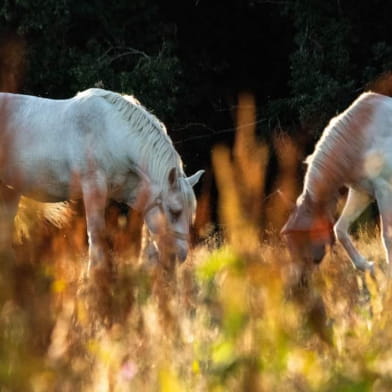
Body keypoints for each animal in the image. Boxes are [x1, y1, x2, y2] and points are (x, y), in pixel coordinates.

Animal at [282, 92, 392, 276]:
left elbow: (387, 234)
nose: (300, 281)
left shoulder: (384, 190)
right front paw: (366, 266)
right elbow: (339, 230)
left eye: (300, 240)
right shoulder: (362, 192)